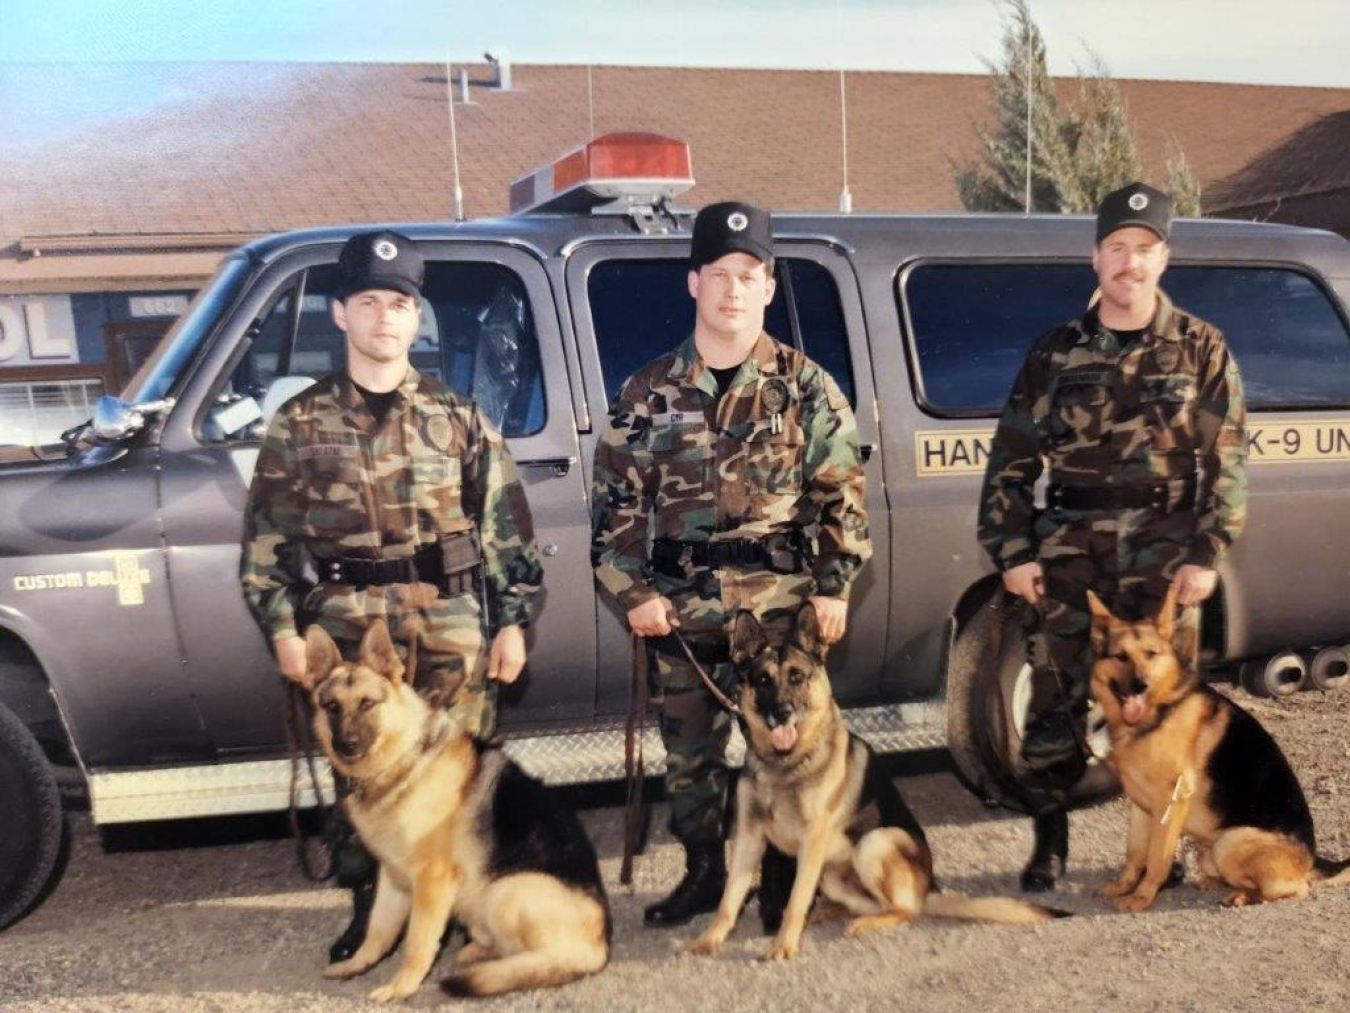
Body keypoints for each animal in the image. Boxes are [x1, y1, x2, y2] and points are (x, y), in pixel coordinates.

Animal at [297, 624, 618, 1004]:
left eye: (367, 704)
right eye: (332, 707)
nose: (346, 744)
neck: (403, 761)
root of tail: (599, 946)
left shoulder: (431, 881)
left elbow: (417, 942)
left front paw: (401, 987)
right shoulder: (393, 876)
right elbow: (378, 931)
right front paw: (358, 965)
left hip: (504, 892)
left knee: (544, 959)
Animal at [691, 607, 1058, 961]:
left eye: (797, 676)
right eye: (763, 680)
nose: (782, 713)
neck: (784, 764)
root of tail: (930, 888)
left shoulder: (811, 841)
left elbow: (795, 900)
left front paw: (784, 944)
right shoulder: (749, 839)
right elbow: (728, 900)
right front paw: (710, 939)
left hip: (874, 842)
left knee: (906, 910)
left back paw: (863, 921)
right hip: (831, 875)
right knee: (871, 903)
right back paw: (832, 912)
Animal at [1085, 586, 1350, 913]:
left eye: (1151, 654)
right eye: (1120, 657)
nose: (1139, 685)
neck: (1158, 712)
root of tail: (1311, 859)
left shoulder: (1169, 802)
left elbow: (1156, 858)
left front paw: (1142, 897)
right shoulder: (1140, 805)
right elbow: (1134, 854)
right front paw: (1124, 886)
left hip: (1229, 842)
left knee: (1294, 888)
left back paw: (1243, 896)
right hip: (1209, 849)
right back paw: (1214, 883)